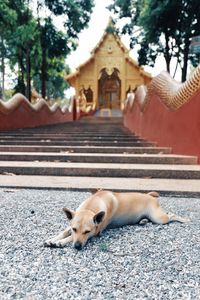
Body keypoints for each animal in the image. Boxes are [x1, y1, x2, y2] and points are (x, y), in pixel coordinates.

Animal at [43, 190, 189, 251]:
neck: (90, 207)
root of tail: (150, 196)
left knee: (171, 215)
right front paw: (53, 239)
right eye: (74, 229)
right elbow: (64, 232)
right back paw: (142, 221)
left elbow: (69, 238)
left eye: (87, 232)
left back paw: (185, 220)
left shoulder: (96, 233)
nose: (77, 246)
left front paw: (60, 242)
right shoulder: (71, 225)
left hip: (159, 218)